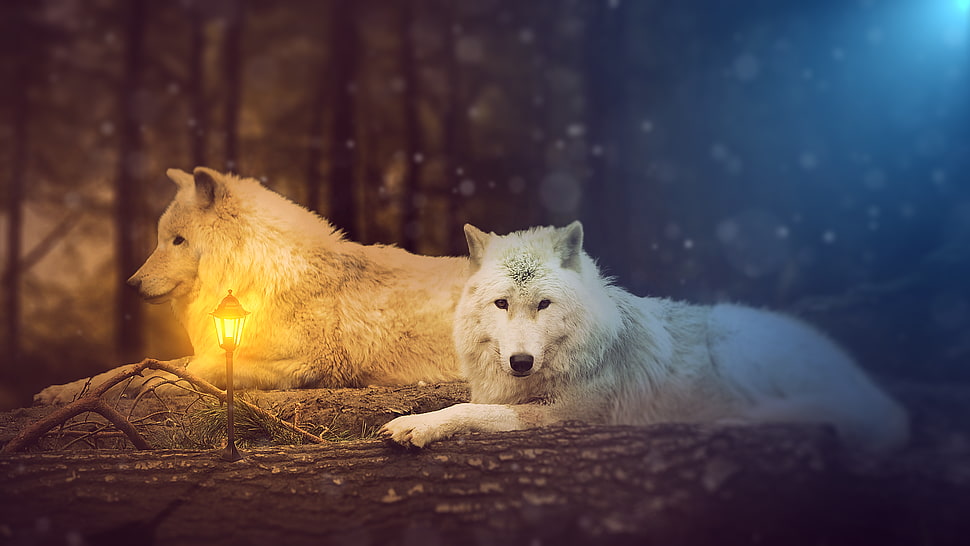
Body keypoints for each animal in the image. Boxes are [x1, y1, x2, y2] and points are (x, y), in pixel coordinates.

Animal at [35, 167, 467, 403]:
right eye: (161, 239)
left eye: (178, 241)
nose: (131, 283)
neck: (254, 274)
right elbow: (125, 369)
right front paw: (61, 392)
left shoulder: (310, 364)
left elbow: (198, 371)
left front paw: (160, 384)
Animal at [381, 222, 909, 453]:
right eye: (502, 304)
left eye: (544, 305)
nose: (521, 362)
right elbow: (471, 402)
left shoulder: (569, 415)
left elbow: (471, 410)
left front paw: (418, 425)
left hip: (735, 341)